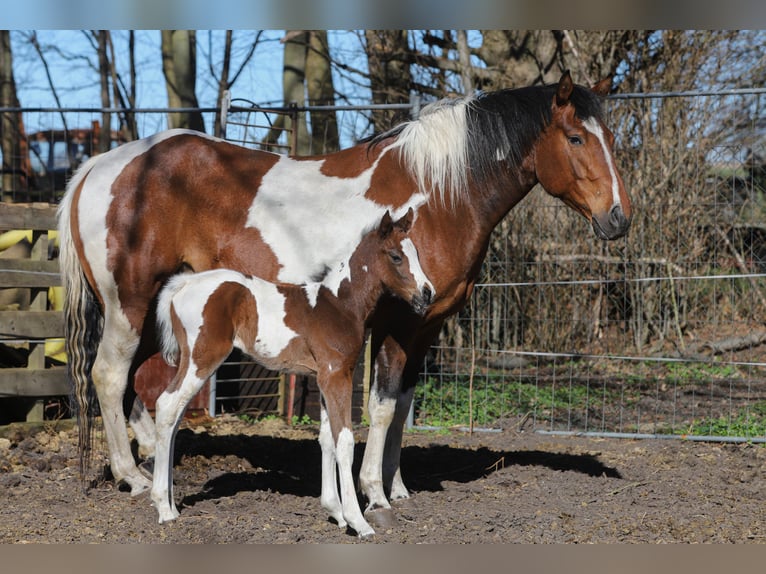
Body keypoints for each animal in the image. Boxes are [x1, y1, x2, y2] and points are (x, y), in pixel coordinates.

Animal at [152, 209, 432, 536]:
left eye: (416, 253)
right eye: (396, 256)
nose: (428, 293)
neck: (339, 305)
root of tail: (182, 285)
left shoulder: (323, 378)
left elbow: (327, 440)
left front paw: (335, 512)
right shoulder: (337, 376)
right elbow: (345, 441)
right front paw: (357, 521)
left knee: (174, 417)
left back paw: (171, 505)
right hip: (202, 359)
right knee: (166, 406)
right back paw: (163, 508)